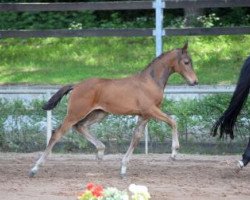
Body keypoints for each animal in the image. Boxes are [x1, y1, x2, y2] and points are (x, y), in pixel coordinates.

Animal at [29, 43, 198, 177]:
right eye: (186, 62)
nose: (195, 81)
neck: (150, 81)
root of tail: (76, 85)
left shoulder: (144, 115)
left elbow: (136, 137)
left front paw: (123, 168)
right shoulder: (151, 110)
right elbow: (173, 122)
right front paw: (174, 153)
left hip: (99, 113)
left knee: (80, 126)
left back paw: (100, 151)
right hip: (75, 113)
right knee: (57, 133)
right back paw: (35, 168)